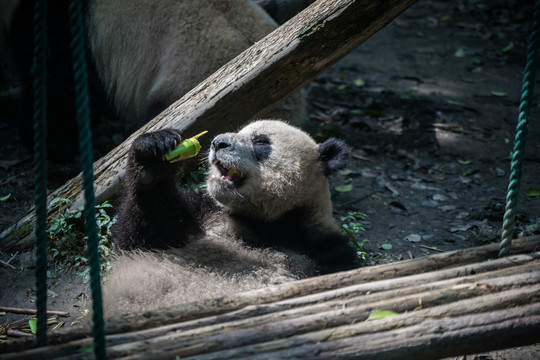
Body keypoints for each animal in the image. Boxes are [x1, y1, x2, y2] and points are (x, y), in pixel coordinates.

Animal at [105, 119, 358, 314]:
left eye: (261, 142)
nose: (218, 143)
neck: (270, 220)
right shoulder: (205, 211)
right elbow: (142, 239)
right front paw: (153, 159)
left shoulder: (325, 248)